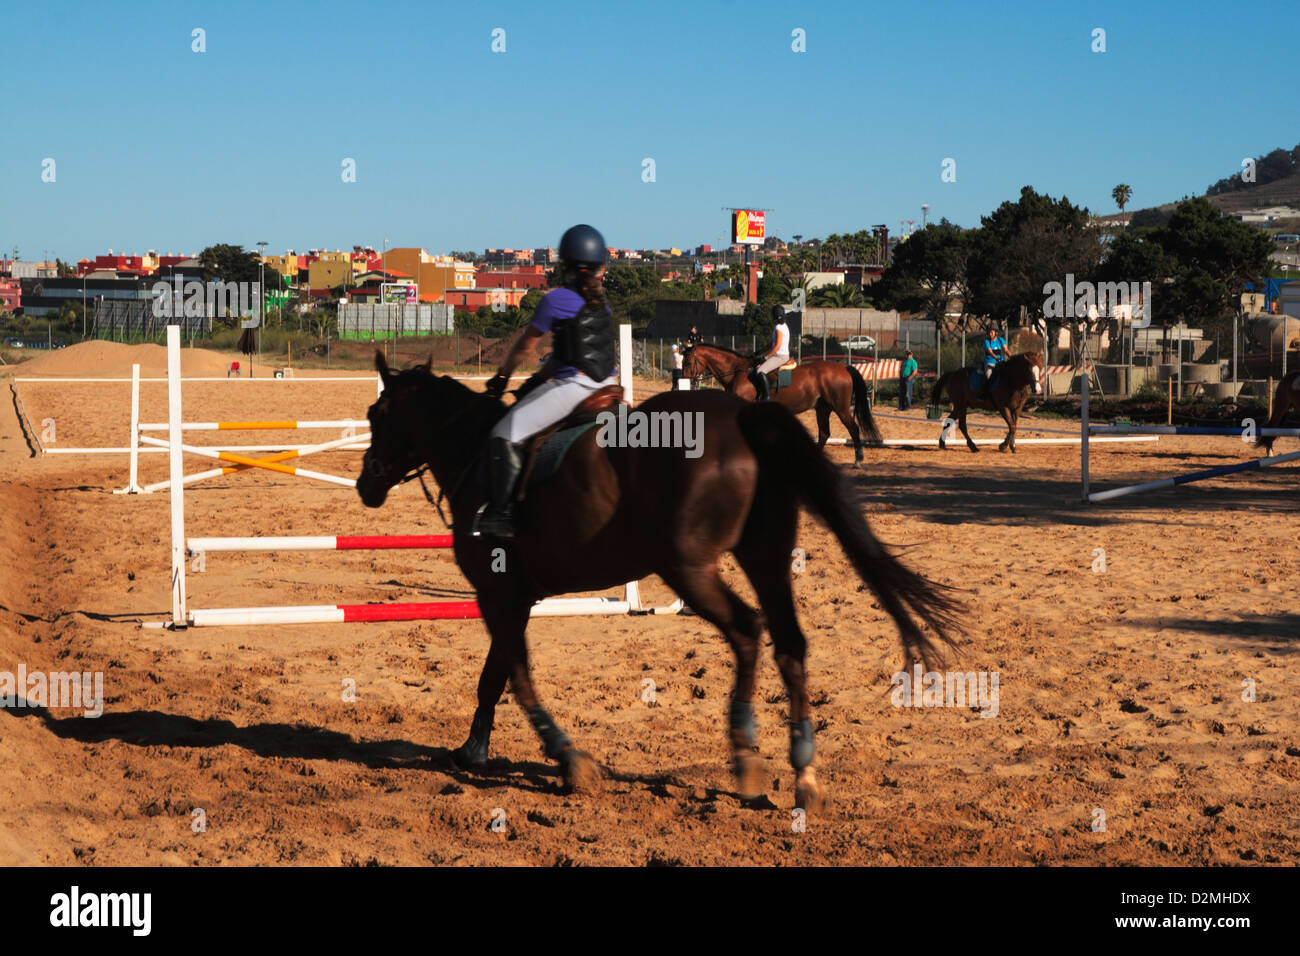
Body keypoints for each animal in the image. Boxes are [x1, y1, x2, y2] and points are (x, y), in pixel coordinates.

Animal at [353, 356, 956, 811]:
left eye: (376, 414)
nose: (365, 485)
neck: (475, 452)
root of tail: (743, 416)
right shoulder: (514, 597)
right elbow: (494, 676)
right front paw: (473, 750)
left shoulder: (497, 593)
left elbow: (514, 677)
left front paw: (569, 761)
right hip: (763, 555)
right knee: (789, 642)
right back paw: (803, 775)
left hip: (687, 568)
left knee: (747, 630)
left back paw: (745, 754)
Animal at [681, 343, 883, 465]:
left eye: (688, 361)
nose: (687, 381)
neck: (737, 372)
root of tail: (844, 367)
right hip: (823, 408)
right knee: (824, 433)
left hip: (840, 407)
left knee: (853, 428)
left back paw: (858, 460)